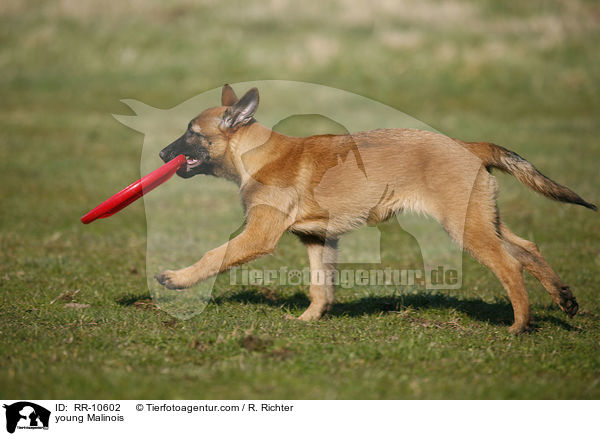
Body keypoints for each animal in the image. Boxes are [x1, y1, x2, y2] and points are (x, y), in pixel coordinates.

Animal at [155, 85, 596, 334]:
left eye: (191, 133)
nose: (161, 154)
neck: (257, 155)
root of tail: (468, 145)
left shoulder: (259, 235)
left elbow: (213, 256)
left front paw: (176, 278)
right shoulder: (317, 238)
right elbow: (320, 285)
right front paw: (309, 321)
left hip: (466, 227)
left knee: (510, 266)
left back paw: (520, 326)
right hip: (486, 218)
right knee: (528, 249)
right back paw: (564, 299)